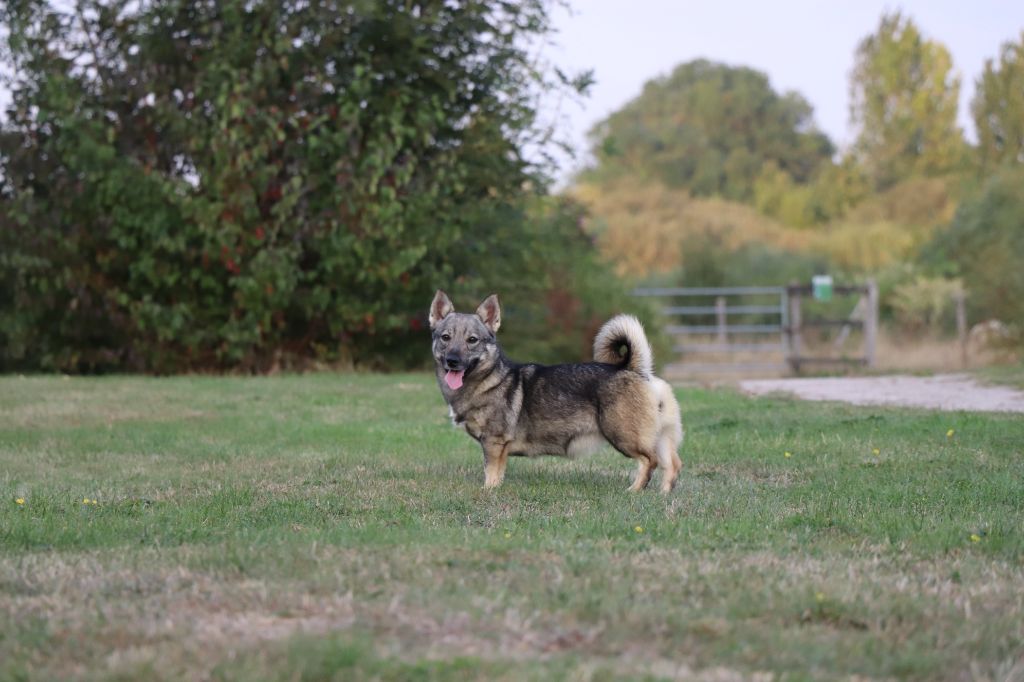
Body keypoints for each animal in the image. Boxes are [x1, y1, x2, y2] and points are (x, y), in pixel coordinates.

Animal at [428, 288, 684, 491]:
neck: (488, 379)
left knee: (650, 461)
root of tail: (635, 369)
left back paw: (634, 490)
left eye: (472, 340)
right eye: (445, 337)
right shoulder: (498, 449)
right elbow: (498, 474)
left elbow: (490, 474)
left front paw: (487, 492)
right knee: (672, 465)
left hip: (624, 437)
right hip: (660, 438)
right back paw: (663, 494)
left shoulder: (494, 443)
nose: (452, 360)